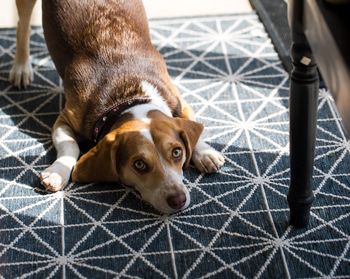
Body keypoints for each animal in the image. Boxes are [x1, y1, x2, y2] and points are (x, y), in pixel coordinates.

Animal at [9, 0, 226, 214]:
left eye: (177, 152)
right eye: (139, 165)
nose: (178, 200)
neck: (130, 96)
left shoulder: (180, 102)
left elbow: (192, 127)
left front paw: (205, 153)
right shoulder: (64, 121)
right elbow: (70, 147)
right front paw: (57, 172)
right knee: (22, 27)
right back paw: (21, 67)